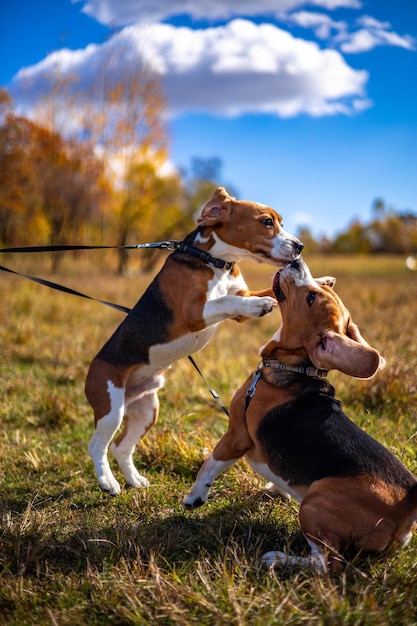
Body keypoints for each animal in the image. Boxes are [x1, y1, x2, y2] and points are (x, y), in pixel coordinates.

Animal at [84, 185, 302, 492]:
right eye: (267, 222)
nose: (299, 246)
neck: (218, 263)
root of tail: (93, 367)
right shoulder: (194, 311)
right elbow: (226, 301)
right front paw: (259, 306)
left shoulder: (241, 296)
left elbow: (262, 293)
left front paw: (319, 281)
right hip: (111, 407)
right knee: (97, 446)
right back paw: (108, 482)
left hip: (145, 409)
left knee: (121, 447)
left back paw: (135, 480)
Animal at [184, 258, 416, 572]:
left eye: (311, 297)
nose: (296, 260)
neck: (293, 368)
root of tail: (407, 504)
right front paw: (276, 488)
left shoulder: (236, 436)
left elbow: (209, 465)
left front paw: (194, 497)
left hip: (313, 504)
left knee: (326, 564)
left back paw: (278, 559)